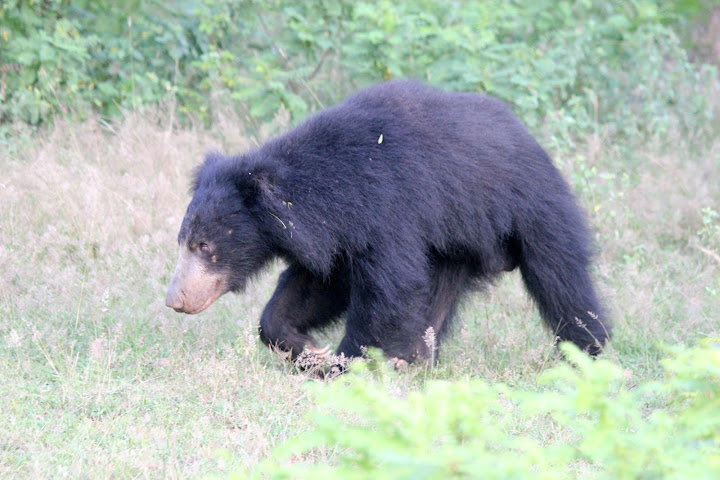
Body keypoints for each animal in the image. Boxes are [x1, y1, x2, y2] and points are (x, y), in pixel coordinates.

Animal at [166, 79, 612, 364]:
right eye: (182, 241)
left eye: (205, 246)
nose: (175, 300)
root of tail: (531, 139)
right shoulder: (337, 237)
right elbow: (315, 286)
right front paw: (307, 349)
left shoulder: (391, 210)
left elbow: (390, 290)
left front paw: (343, 365)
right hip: (454, 244)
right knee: (439, 297)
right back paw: (416, 358)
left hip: (530, 208)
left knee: (560, 278)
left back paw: (588, 351)